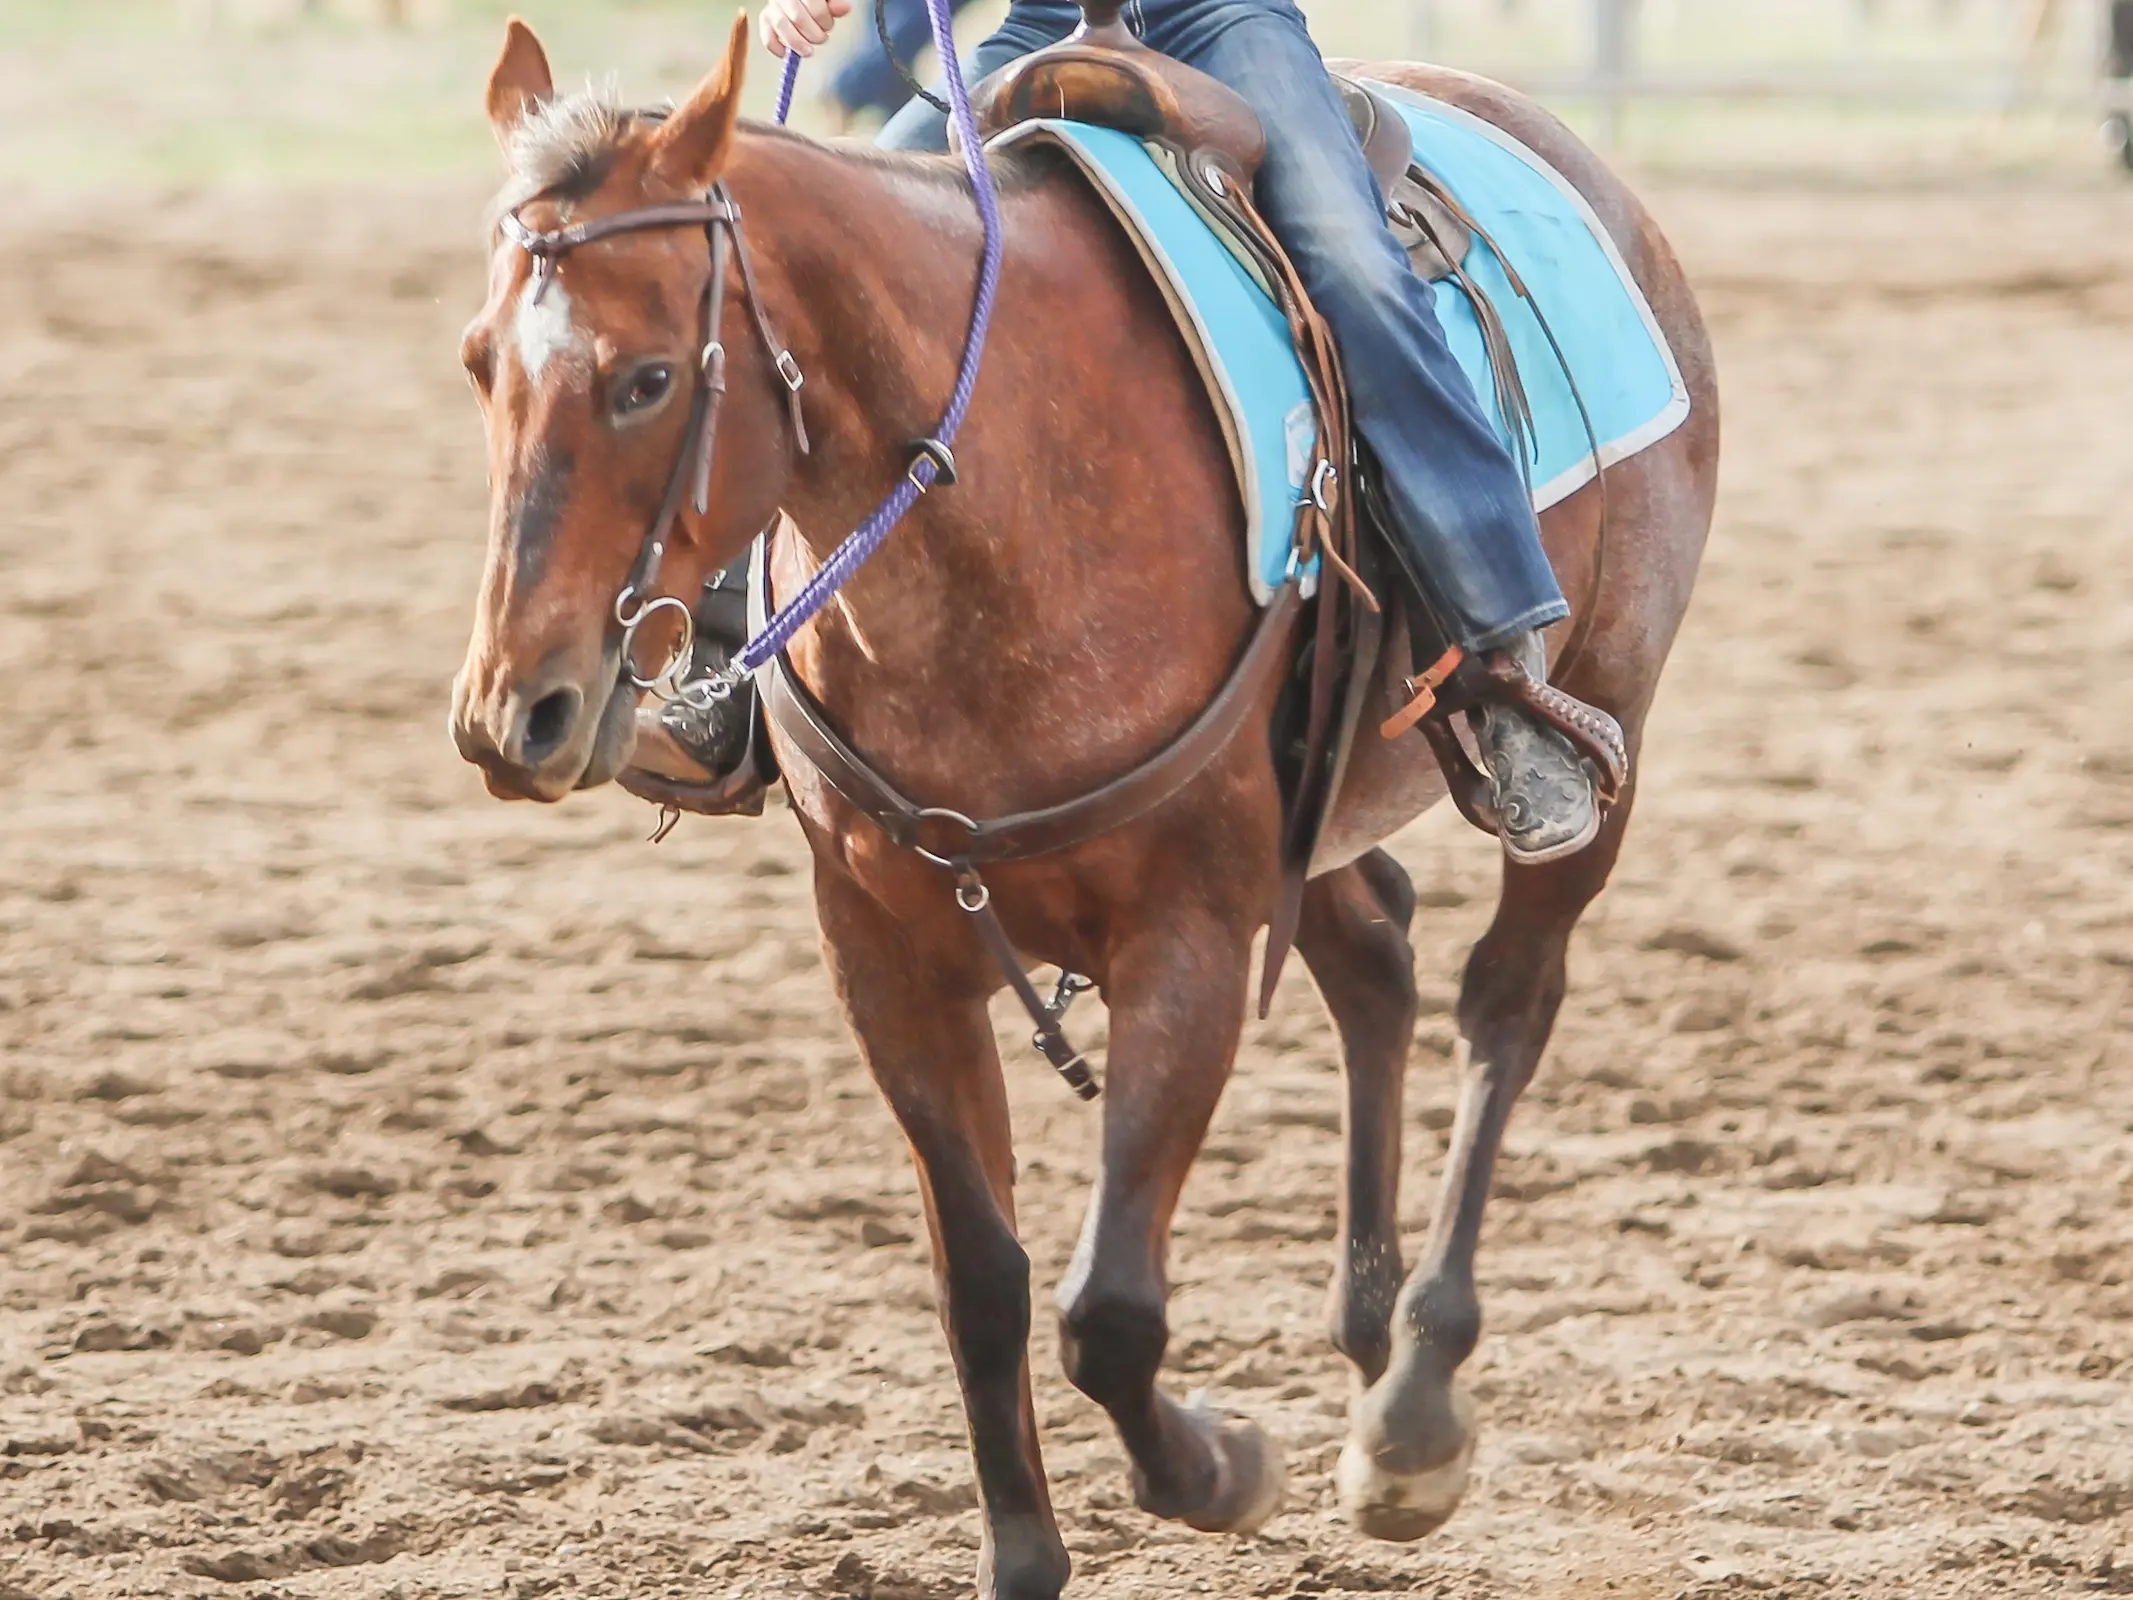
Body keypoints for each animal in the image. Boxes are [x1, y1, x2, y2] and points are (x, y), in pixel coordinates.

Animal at [450, 15, 1714, 1600]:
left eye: (646, 378)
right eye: (478, 362)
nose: (513, 713)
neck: (1001, 495)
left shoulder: (1187, 936)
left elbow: (1107, 1310)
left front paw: (1222, 1467)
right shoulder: (885, 948)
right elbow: (983, 1285)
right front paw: (1026, 1551)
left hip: (1608, 721)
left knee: (1506, 1000)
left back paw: (1415, 1403)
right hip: (1312, 810)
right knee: (1377, 958)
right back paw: (1367, 1334)